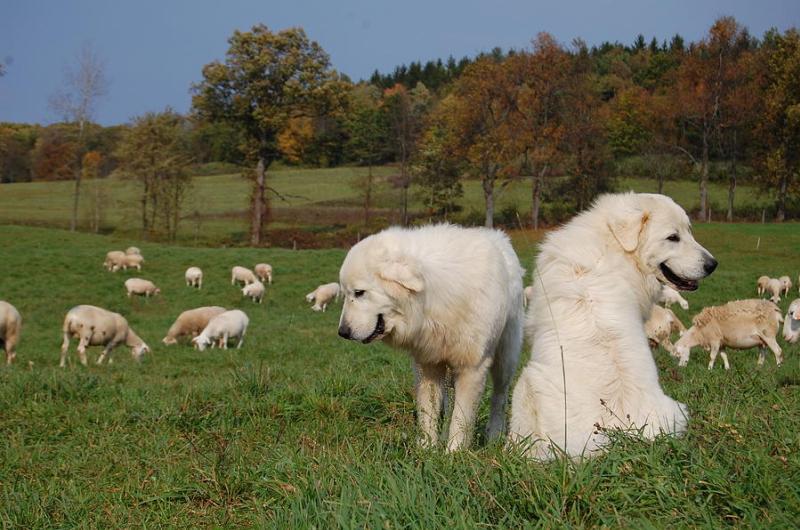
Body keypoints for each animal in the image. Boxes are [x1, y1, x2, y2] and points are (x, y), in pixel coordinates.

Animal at [336, 223, 524, 450]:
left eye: (359, 292)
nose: (342, 332)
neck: (430, 298)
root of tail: (500, 238)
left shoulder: (472, 368)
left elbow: (461, 418)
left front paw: (454, 452)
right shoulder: (429, 365)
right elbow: (429, 411)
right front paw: (427, 449)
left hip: (505, 358)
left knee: (499, 397)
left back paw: (494, 436)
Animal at [510, 193, 720, 458]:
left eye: (688, 232)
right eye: (673, 237)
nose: (713, 265)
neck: (614, 247)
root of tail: (619, 432)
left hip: (525, 384)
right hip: (675, 410)